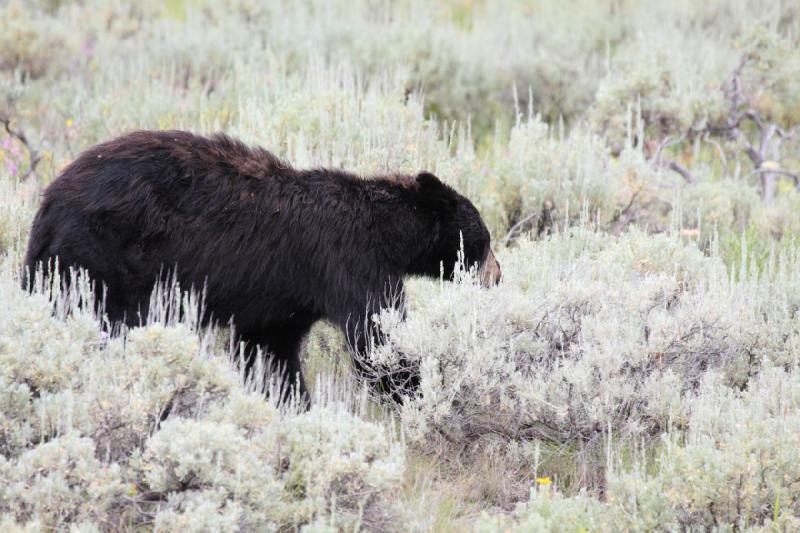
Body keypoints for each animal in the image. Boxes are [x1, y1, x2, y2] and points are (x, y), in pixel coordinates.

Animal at [25, 131, 500, 402]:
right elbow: (376, 337)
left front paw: (290, 402)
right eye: (486, 239)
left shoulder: (286, 296)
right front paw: (421, 396)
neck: (385, 229)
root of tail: (49, 204)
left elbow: (270, 352)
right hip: (103, 257)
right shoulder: (349, 260)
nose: (498, 275)